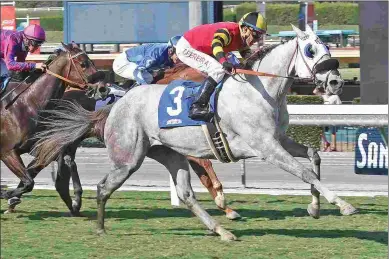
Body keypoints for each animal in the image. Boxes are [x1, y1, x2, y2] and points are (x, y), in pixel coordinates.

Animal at [0, 42, 107, 204]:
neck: (28, 105)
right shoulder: (7, 151)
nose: (103, 88)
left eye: (93, 62)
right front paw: (7, 195)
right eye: (83, 64)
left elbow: (35, 176)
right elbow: (29, 181)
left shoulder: (41, 146)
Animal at [32, 24, 354, 242]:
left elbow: (313, 156)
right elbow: (305, 172)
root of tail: (115, 104)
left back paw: (222, 231)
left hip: (170, 154)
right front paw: (343, 204)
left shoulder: (278, 139)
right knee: (103, 187)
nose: (336, 82)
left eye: (326, 46)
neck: (259, 90)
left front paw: (315, 207)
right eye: (311, 50)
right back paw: (99, 226)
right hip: (129, 158)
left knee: (186, 194)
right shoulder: (265, 146)